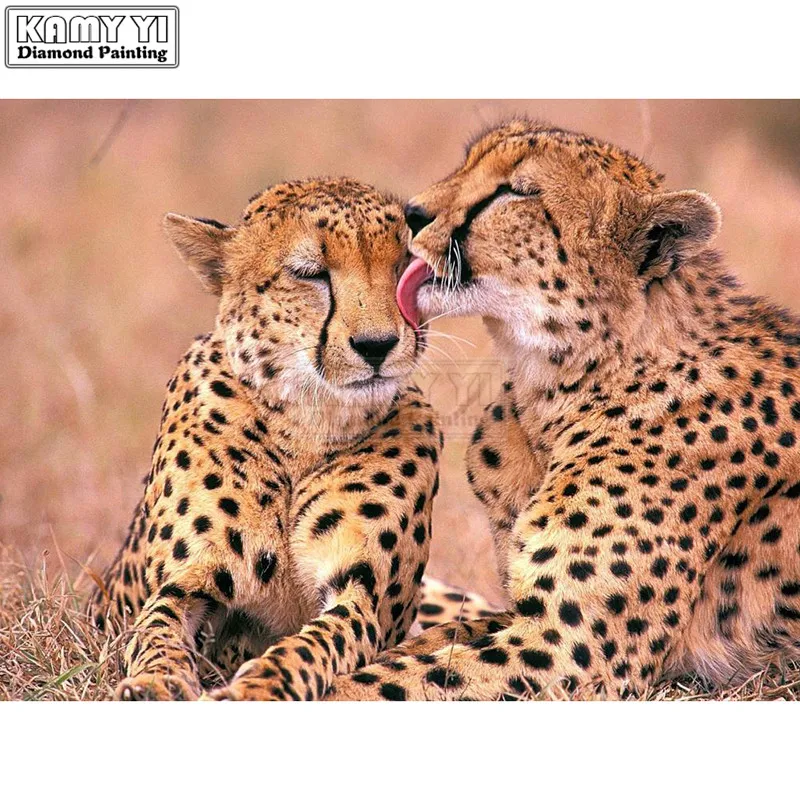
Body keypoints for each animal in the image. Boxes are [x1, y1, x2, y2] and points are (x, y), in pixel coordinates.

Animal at [86, 177, 445, 700]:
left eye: (405, 267)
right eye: (309, 274)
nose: (377, 345)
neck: (307, 425)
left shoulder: (361, 595)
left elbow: (310, 645)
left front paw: (258, 688)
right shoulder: (185, 583)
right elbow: (156, 633)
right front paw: (155, 683)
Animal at [325, 119, 800, 700]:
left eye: (516, 192)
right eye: (469, 161)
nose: (411, 213)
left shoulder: (570, 649)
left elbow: (386, 681)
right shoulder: (523, 615)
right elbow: (419, 646)